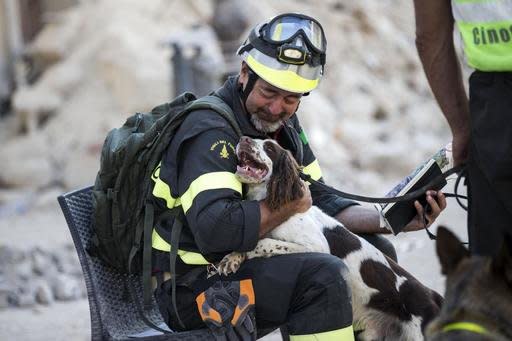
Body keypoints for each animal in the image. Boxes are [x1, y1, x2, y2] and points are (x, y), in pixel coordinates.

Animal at [218, 136, 442, 340]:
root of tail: (432, 295)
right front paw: (231, 259)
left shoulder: (317, 245)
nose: (244, 139)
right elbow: (248, 239)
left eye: (270, 147)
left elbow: (263, 242)